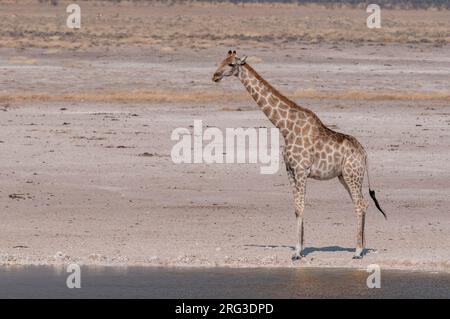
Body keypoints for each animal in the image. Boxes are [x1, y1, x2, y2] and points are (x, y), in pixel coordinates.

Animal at [212, 50, 386, 260]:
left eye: (231, 64)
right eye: (221, 61)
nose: (215, 76)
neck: (285, 127)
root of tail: (365, 154)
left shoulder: (302, 170)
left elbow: (301, 206)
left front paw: (296, 253)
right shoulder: (290, 170)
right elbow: (296, 207)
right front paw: (300, 248)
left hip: (353, 174)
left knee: (360, 204)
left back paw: (358, 251)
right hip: (344, 176)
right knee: (362, 203)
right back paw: (362, 247)